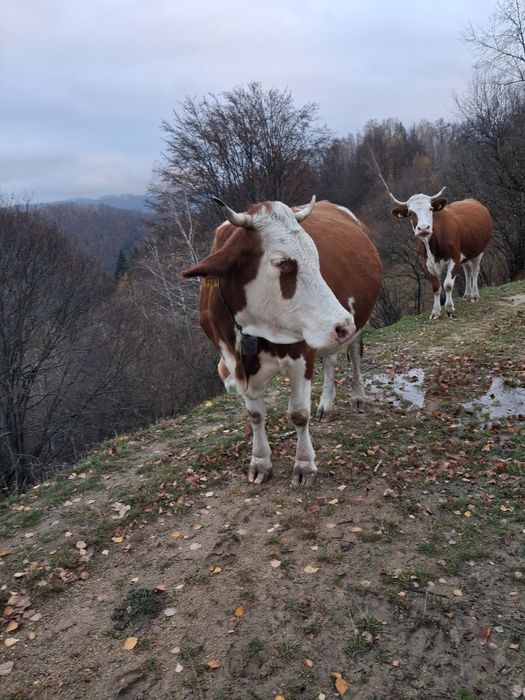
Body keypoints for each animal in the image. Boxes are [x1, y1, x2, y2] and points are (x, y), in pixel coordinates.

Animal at [182, 196, 382, 486]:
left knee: (354, 354)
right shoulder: (234, 361)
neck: (253, 331)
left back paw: (357, 397)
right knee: (330, 360)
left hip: (356, 322)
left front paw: (304, 465)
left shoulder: (302, 355)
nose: (343, 324)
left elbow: (298, 413)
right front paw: (260, 461)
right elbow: (255, 415)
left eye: (316, 257)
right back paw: (327, 405)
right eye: (281, 263)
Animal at [390, 187, 492, 320]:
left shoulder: (454, 258)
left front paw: (449, 309)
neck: (433, 245)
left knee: (474, 272)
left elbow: (447, 284)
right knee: (467, 271)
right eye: (411, 213)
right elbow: (436, 287)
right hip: (466, 254)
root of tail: (472, 200)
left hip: (479, 251)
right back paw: (467, 295)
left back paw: (474, 295)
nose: (423, 228)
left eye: (430, 208)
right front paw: (435, 312)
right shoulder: (428, 264)